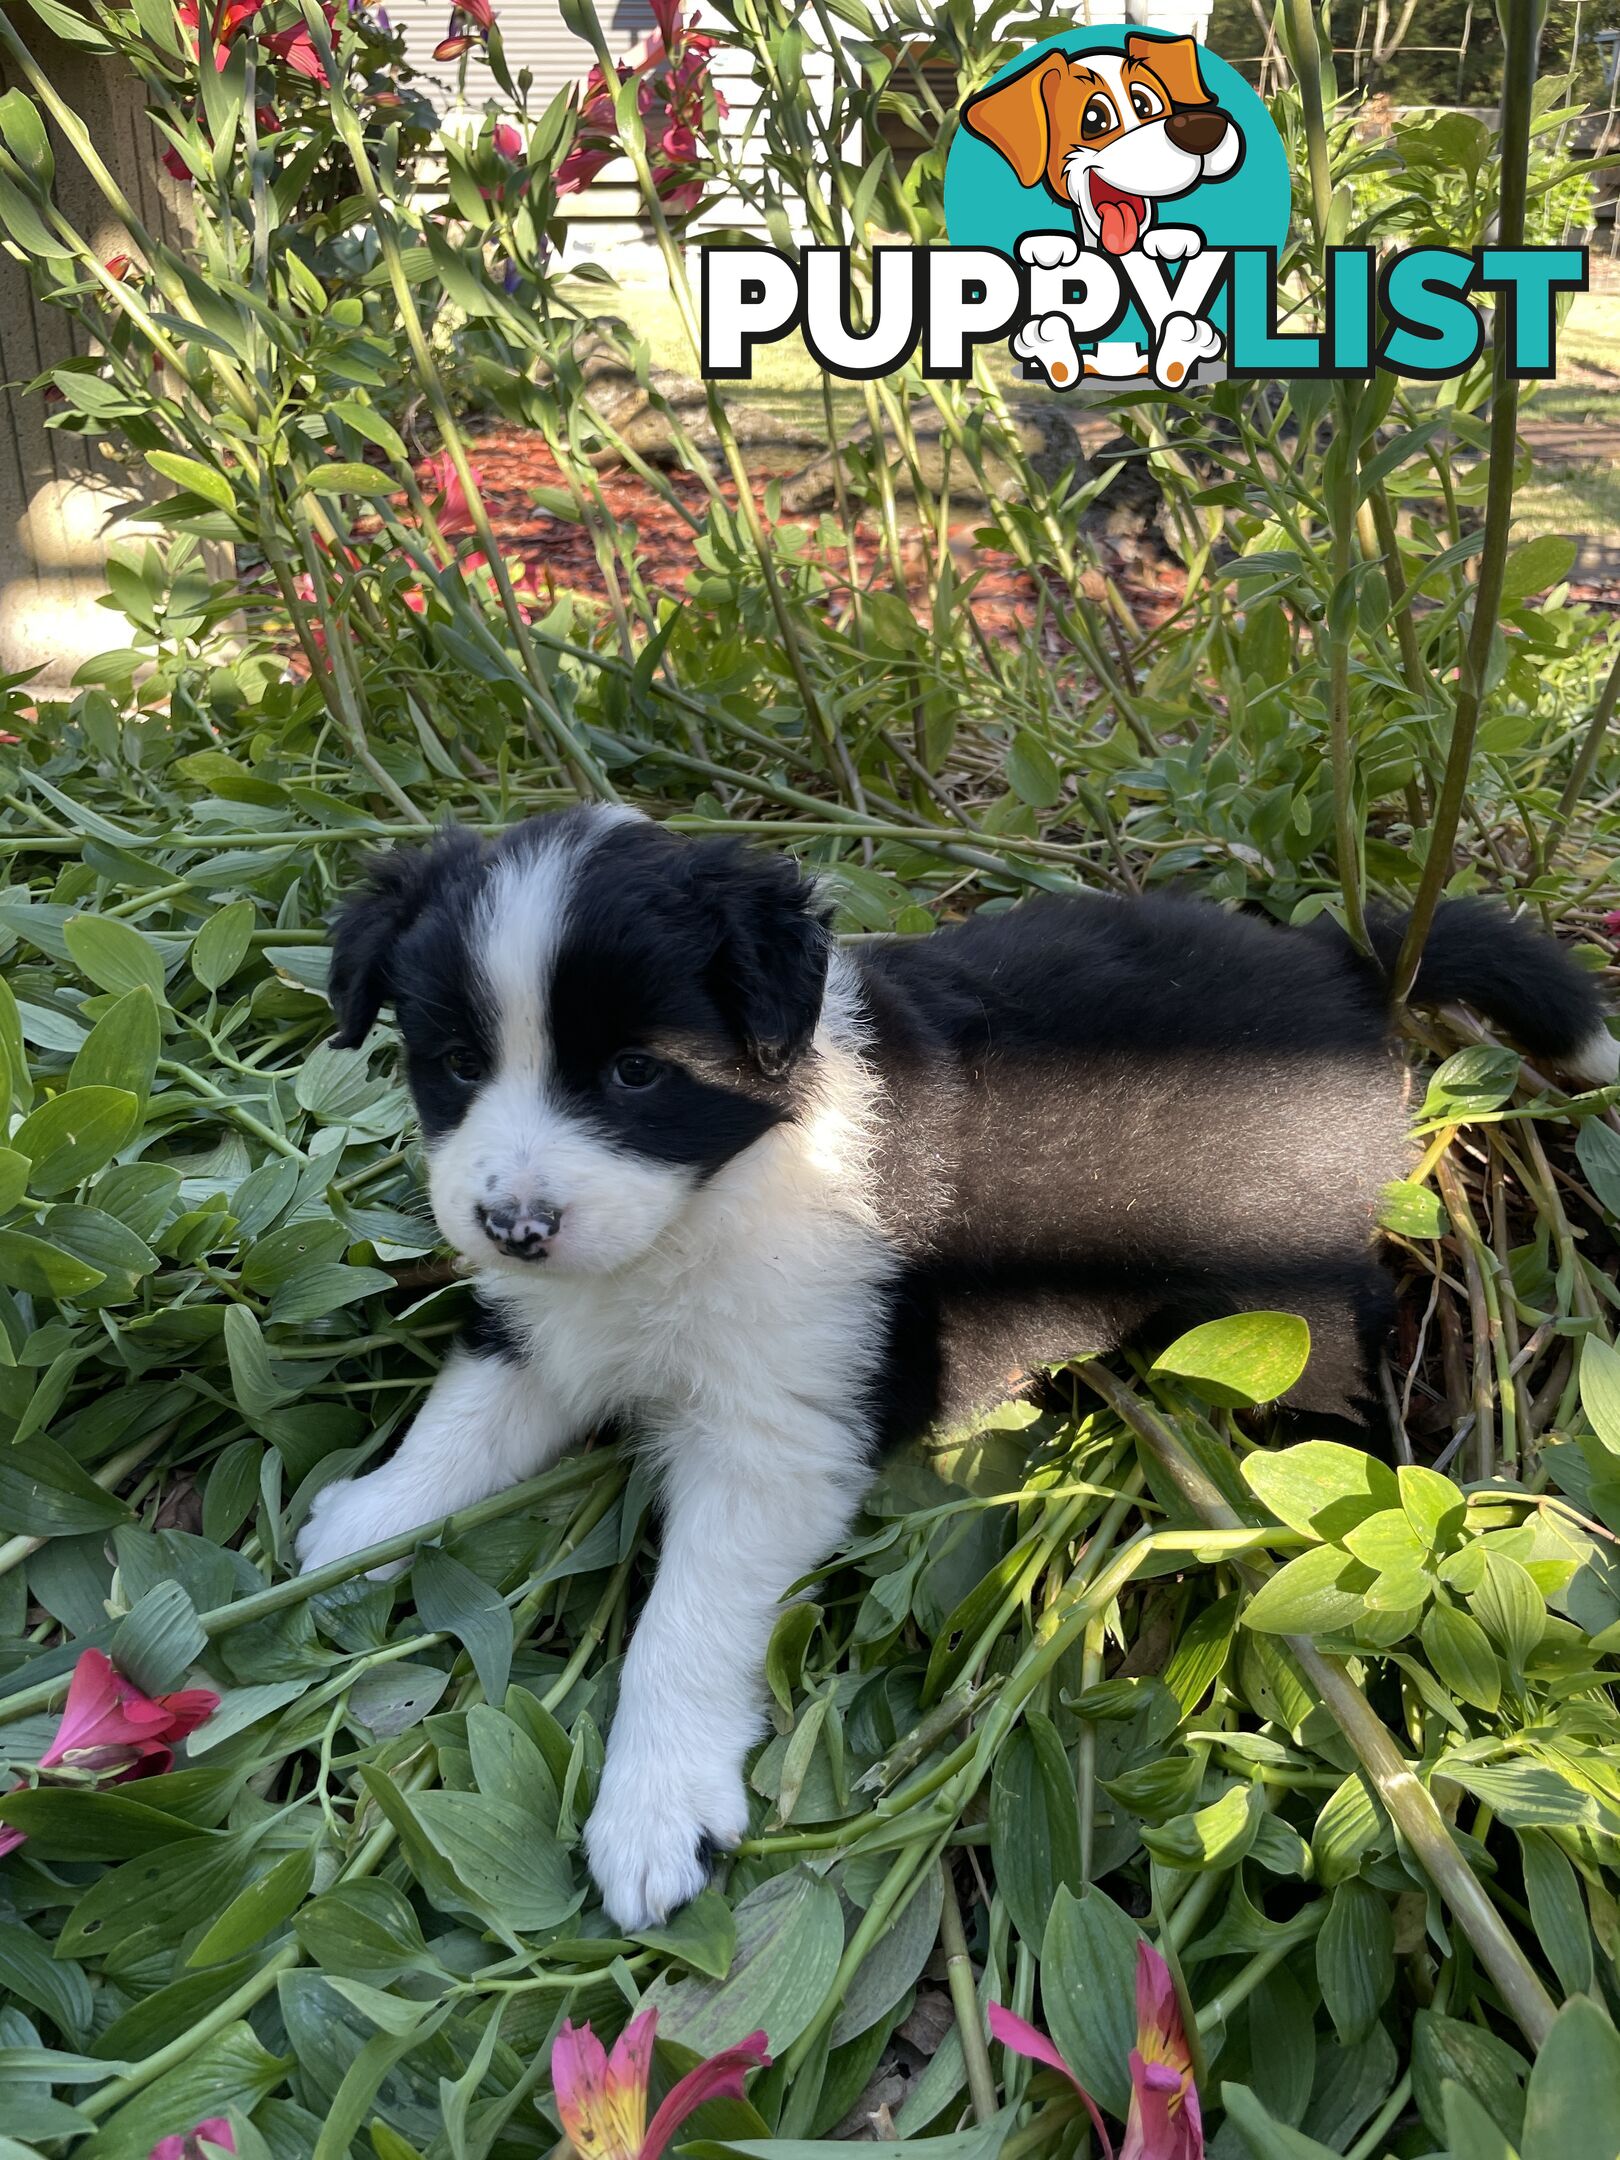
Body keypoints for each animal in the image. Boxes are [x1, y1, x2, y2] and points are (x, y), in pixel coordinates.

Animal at [298, 807, 1615, 1926]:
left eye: (633, 1072)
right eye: (456, 1063)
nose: (514, 1224)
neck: (711, 1195)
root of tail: (1341, 961)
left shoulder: (777, 1439)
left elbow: (685, 1618)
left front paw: (654, 1808)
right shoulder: (543, 1325)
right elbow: (460, 1423)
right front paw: (360, 1529)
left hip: (1277, 1282)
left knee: (1339, 1334)